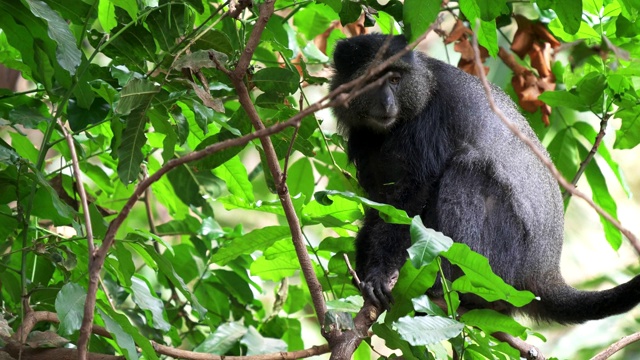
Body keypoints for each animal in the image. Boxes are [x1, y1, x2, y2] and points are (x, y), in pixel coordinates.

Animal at [330, 35, 640, 324]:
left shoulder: (430, 122)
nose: (387, 103)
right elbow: (379, 201)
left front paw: (380, 273)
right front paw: (364, 265)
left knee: (467, 168)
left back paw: (449, 288)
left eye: (394, 79)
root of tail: (544, 272)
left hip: (502, 262)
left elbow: (409, 197)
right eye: (371, 81)